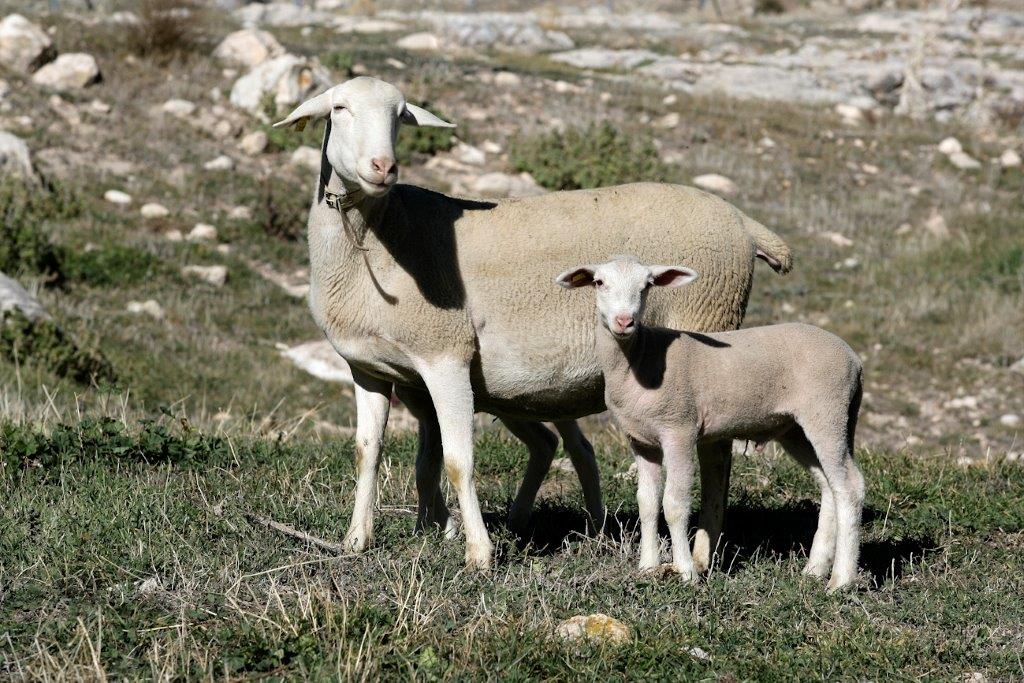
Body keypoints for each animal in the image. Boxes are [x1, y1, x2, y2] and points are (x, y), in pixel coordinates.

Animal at [272, 74, 790, 569]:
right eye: (340, 108)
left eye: (401, 116)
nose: (383, 167)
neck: (380, 235)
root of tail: (744, 223)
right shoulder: (371, 369)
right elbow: (368, 452)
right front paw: (356, 540)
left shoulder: (445, 355)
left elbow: (457, 460)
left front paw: (478, 553)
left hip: (709, 330)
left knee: (716, 454)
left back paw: (702, 552)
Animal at [561, 255, 864, 593]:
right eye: (599, 282)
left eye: (647, 286)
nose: (625, 321)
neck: (641, 357)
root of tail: (854, 360)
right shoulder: (640, 441)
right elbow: (647, 503)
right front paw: (647, 567)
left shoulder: (679, 430)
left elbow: (675, 504)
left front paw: (686, 572)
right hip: (796, 428)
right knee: (829, 486)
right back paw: (814, 569)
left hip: (827, 413)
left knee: (850, 487)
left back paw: (841, 579)